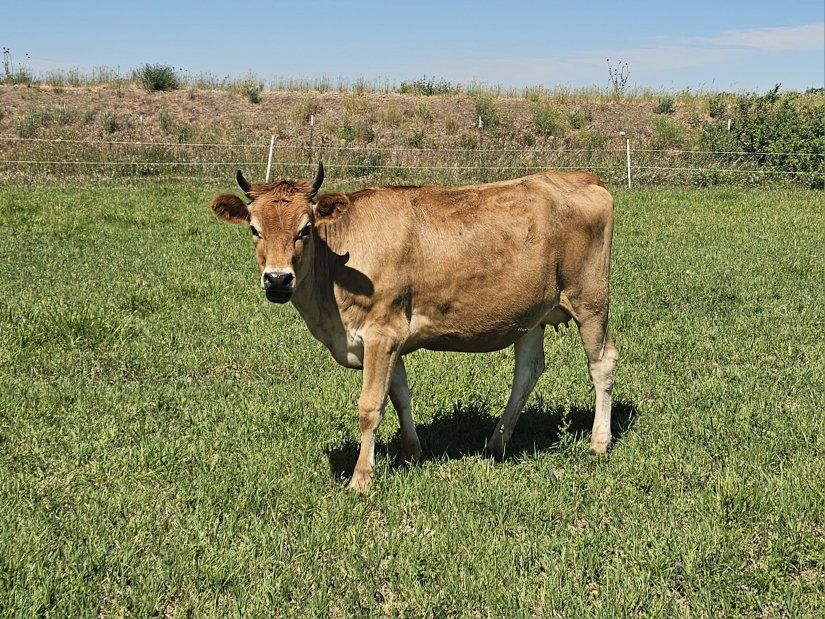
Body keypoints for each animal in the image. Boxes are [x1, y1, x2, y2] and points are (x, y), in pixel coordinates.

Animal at [210, 163, 618, 492]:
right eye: (254, 229)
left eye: (305, 229)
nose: (278, 279)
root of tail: (582, 176)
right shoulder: (389, 339)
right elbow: (400, 396)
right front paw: (410, 454)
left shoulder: (381, 333)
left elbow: (370, 405)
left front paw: (361, 478)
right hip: (531, 313)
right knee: (528, 371)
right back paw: (497, 442)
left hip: (590, 298)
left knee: (602, 362)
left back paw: (598, 442)